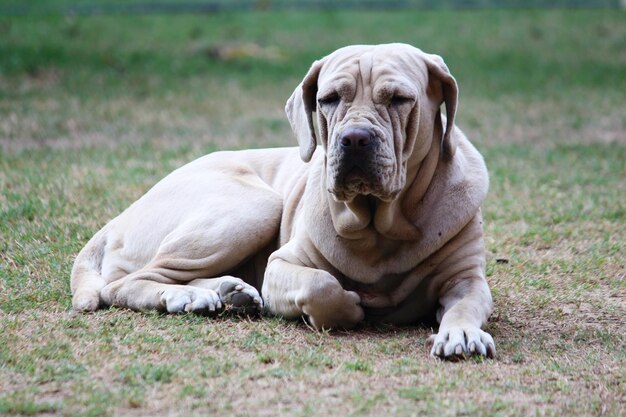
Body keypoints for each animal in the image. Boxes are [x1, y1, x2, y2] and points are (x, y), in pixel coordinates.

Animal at [70, 44, 492, 358]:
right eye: (328, 99)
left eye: (400, 99)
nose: (354, 139)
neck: (380, 227)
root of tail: (119, 217)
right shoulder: (283, 266)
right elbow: (322, 286)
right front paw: (349, 306)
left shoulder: (467, 276)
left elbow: (466, 303)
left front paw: (461, 334)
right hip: (254, 206)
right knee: (125, 283)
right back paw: (187, 295)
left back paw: (228, 291)